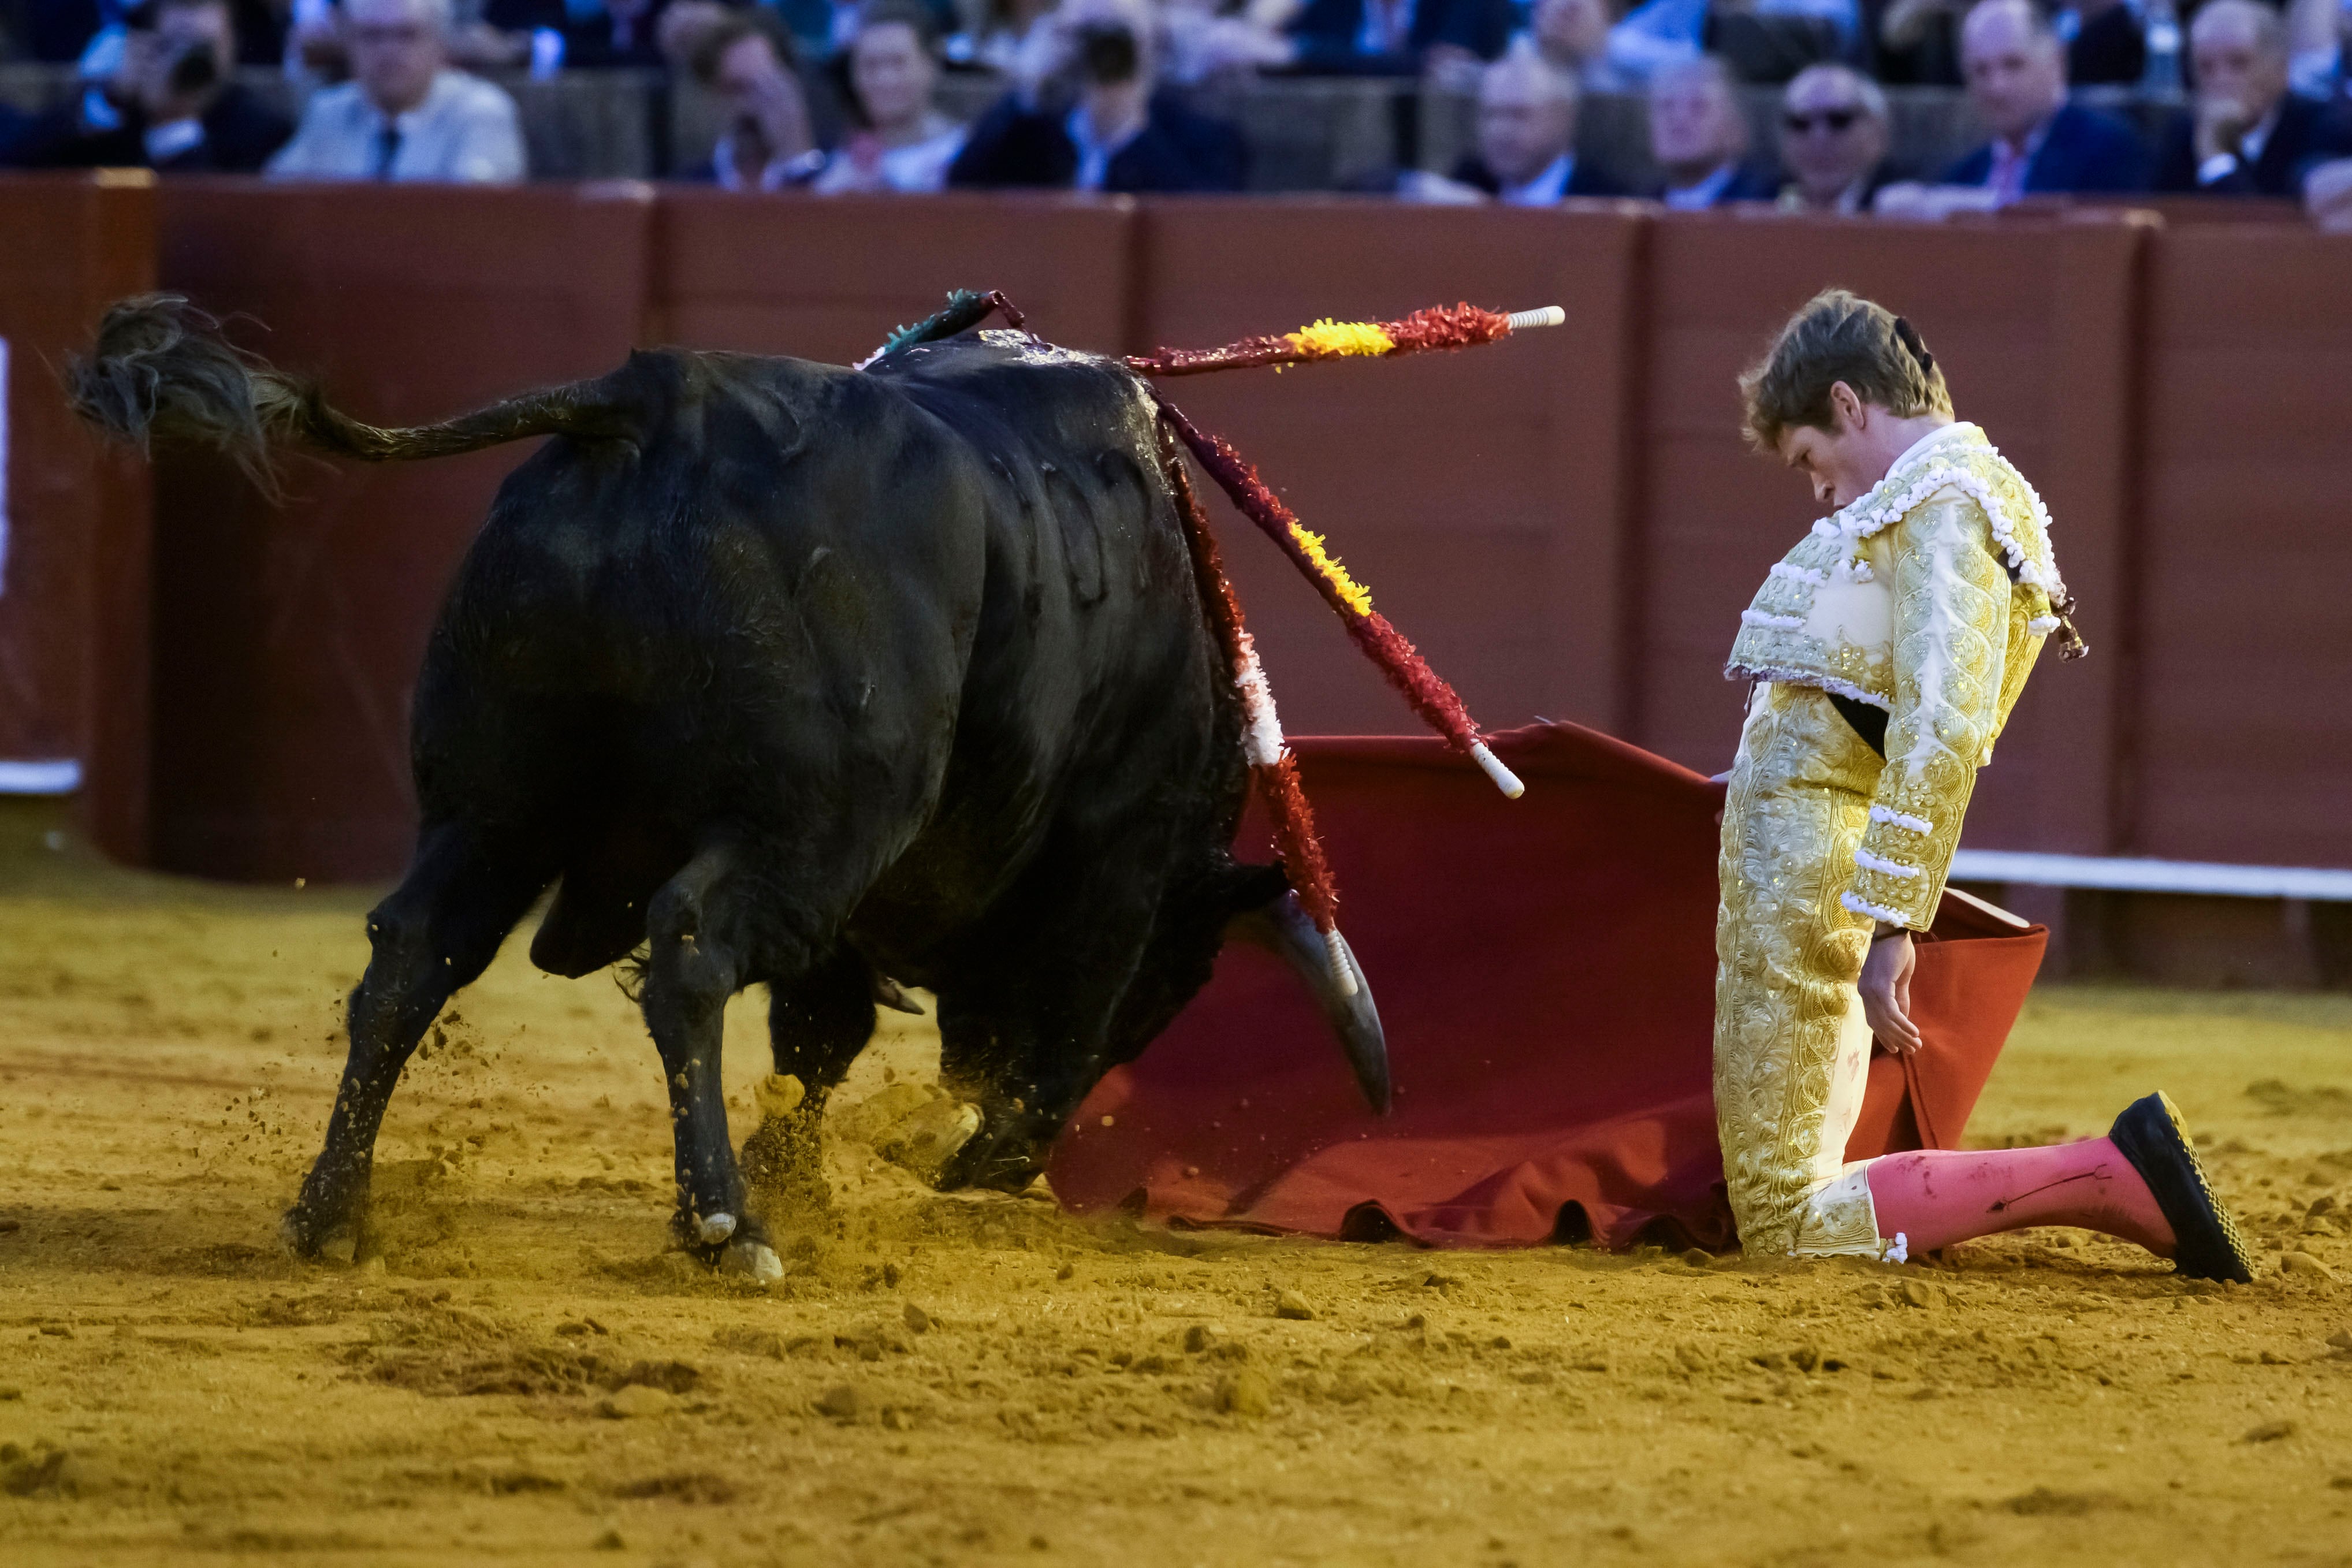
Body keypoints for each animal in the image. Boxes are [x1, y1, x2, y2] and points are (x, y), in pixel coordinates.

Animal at [73, 301, 1383, 1279]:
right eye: (1176, 985)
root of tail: (655, 397)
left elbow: (821, 1041)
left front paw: (815, 1176)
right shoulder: (1104, 875)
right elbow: (1028, 1046)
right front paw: (956, 1164)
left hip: (491, 808)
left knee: (412, 955)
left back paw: (333, 1211)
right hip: (806, 826)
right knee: (691, 953)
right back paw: (724, 1224)